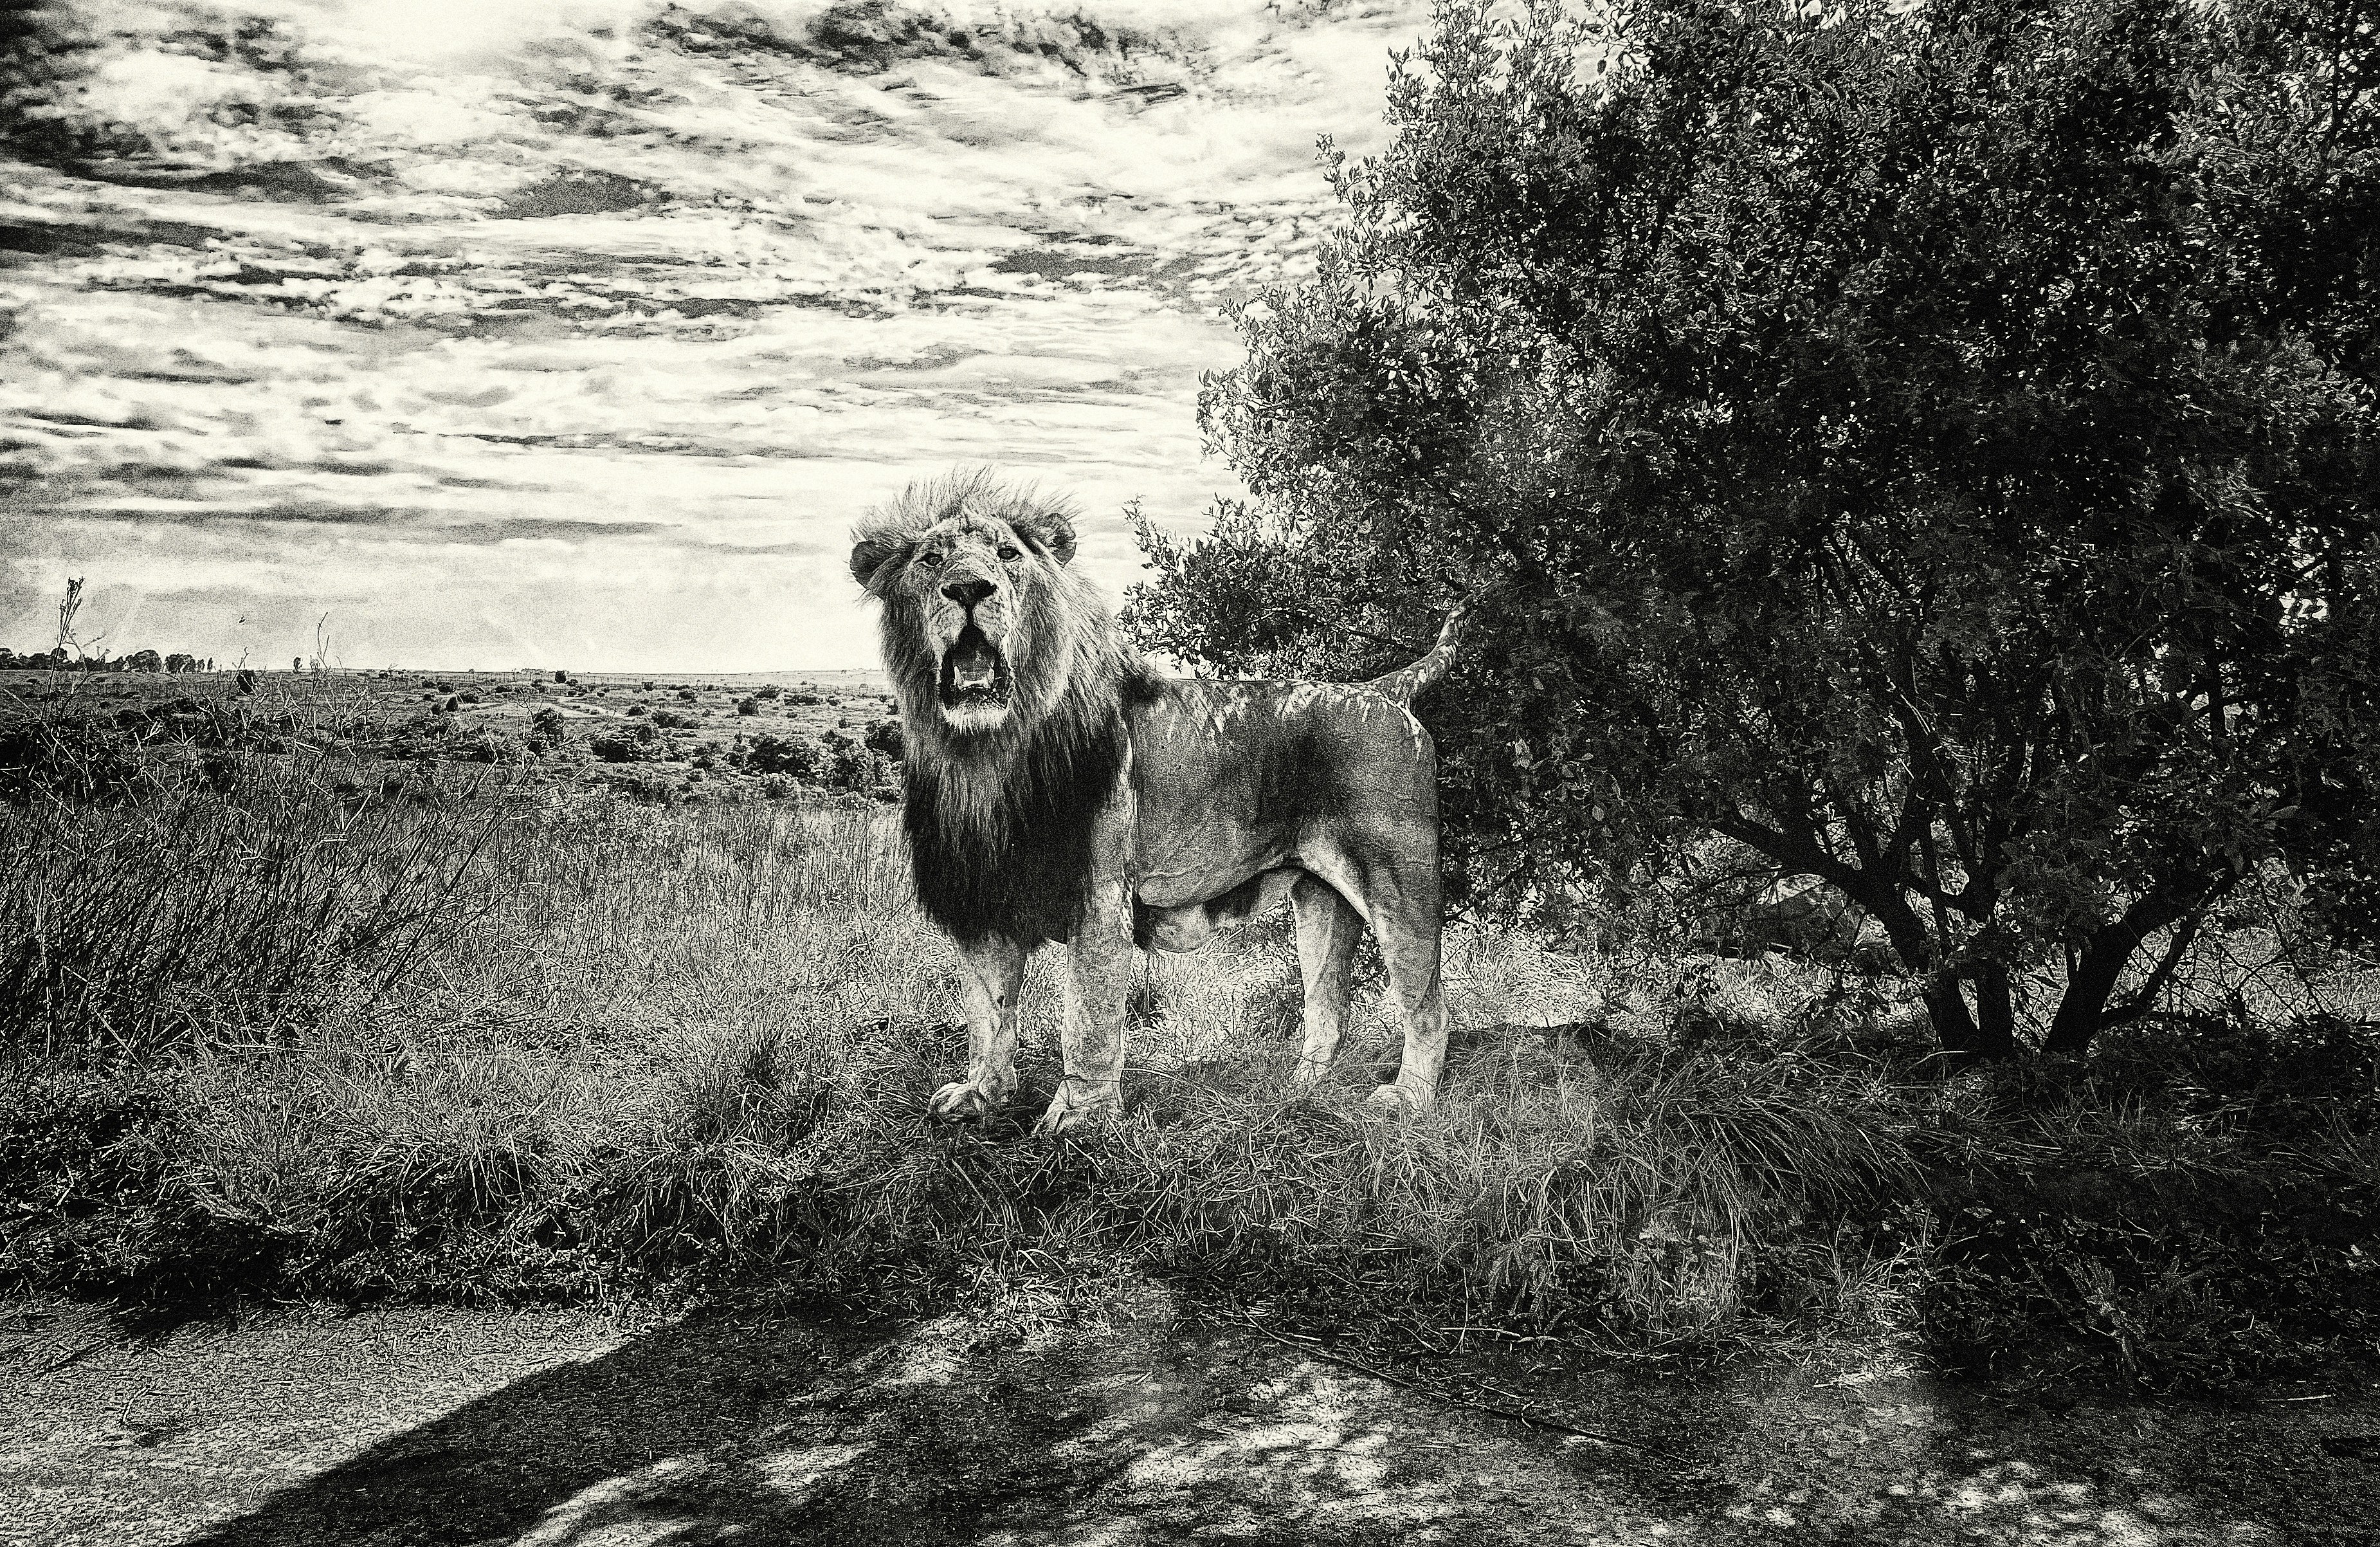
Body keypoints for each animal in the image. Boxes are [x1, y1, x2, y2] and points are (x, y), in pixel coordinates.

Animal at [850, 469, 1466, 1135]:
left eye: (1007, 555)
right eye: (930, 559)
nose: (968, 588)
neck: (986, 753)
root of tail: (1383, 689)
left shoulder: (1099, 895)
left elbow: (1087, 1018)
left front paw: (1081, 1117)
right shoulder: (982, 896)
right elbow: (987, 1012)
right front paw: (982, 1094)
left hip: (1398, 881)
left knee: (1429, 1005)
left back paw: (1409, 1099)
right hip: (1320, 899)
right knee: (1328, 1003)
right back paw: (1299, 1090)